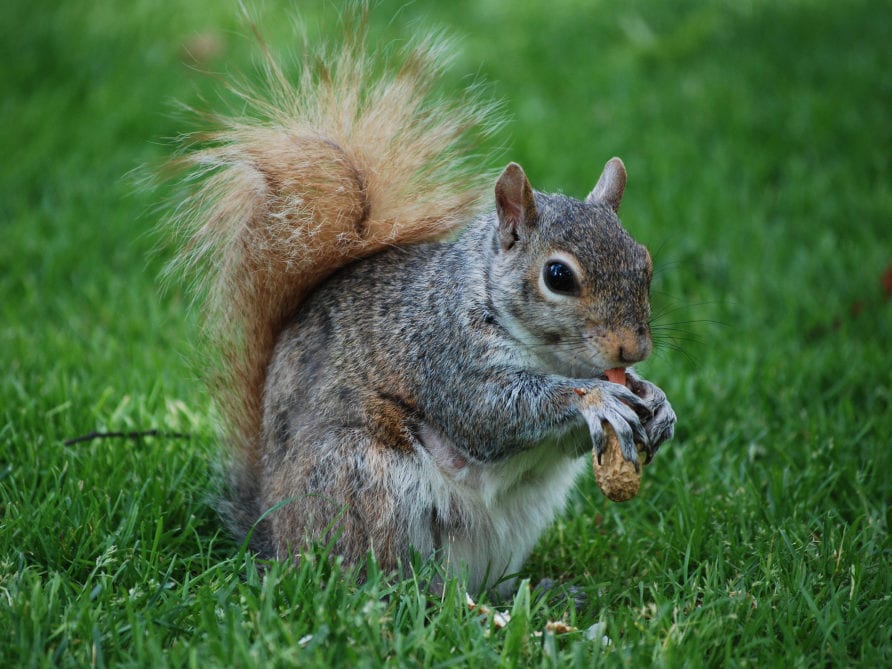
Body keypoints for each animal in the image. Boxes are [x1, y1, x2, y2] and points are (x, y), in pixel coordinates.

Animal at [167, 11, 672, 596]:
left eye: (644, 262)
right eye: (558, 276)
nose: (632, 349)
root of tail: (273, 538)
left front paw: (656, 400)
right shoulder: (443, 350)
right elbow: (490, 413)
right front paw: (596, 397)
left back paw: (529, 592)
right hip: (366, 481)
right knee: (381, 583)